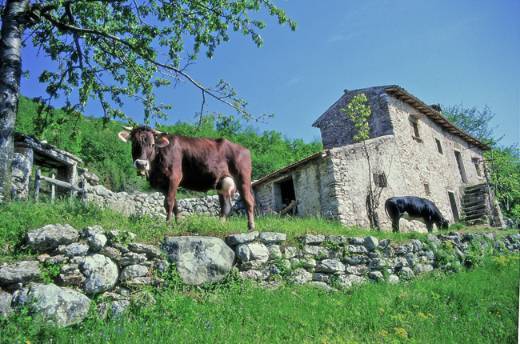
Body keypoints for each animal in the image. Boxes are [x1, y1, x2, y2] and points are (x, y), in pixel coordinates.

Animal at [118, 126, 256, 231]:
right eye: (134, 143)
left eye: (152, 144)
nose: (141, 164)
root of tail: (243, 149)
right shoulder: (163, 185)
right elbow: (174, 204)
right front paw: (178, 223)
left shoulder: (174, 177)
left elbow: (168, 202)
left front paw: (168, 224)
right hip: (222, 182)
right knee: (226, 205)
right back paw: (220, 224)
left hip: (243, 178)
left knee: (248, 200)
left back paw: (251, 226)